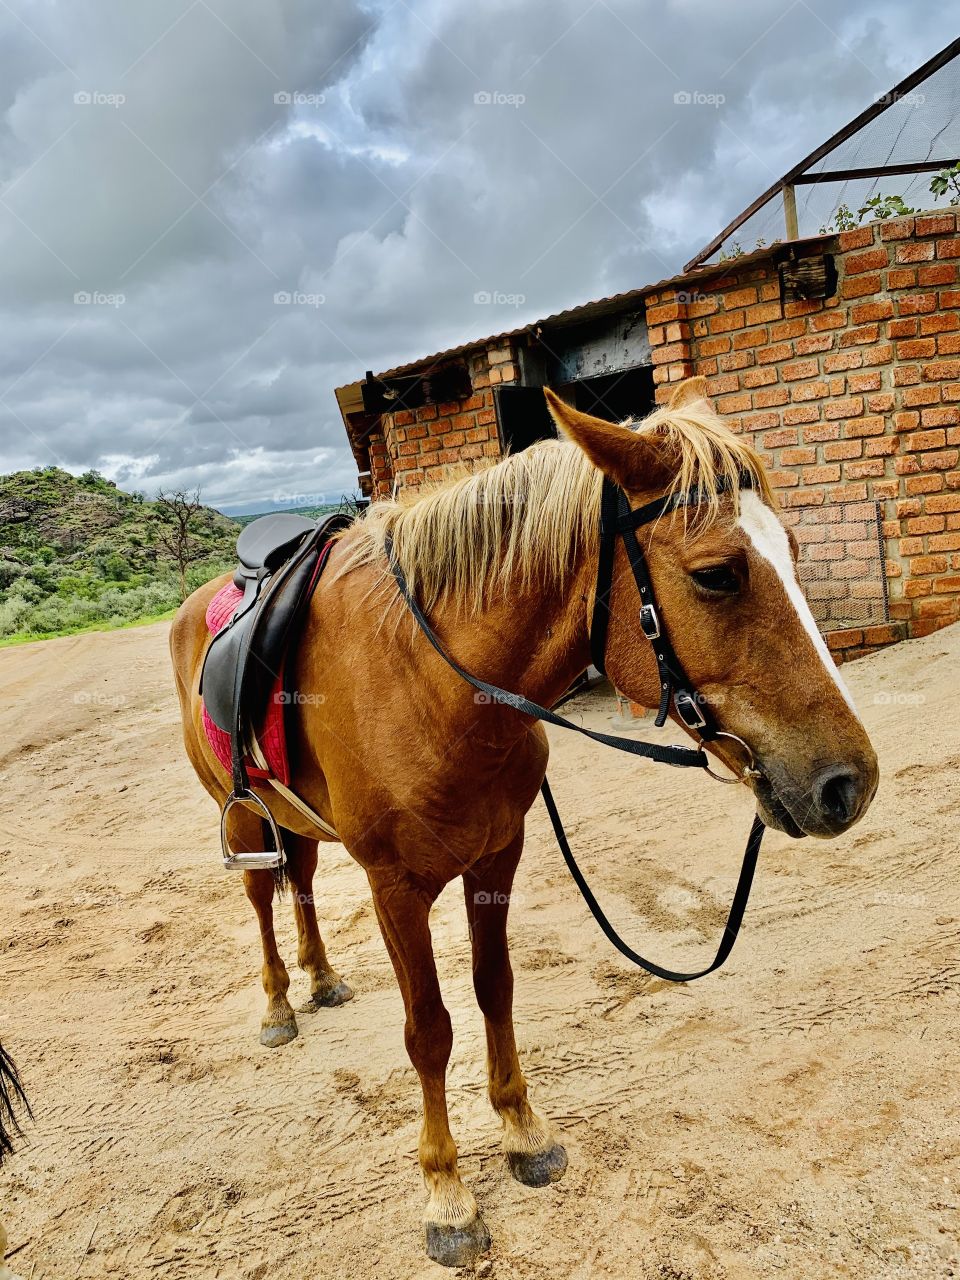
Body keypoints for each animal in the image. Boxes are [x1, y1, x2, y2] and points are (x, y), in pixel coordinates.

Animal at [168, 373, 875, 1264]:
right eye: (716, 574)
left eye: (791, 550)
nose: (850, 783)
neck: (433, 680)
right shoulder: (396, 890)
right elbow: (429, 1030)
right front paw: (446, 1193)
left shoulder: (497, 855)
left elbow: (494, 989)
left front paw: (523, 1131)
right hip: (242, 821)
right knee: (264, 897)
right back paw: (277, 1007)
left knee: (301, 882)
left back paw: (322, 977)